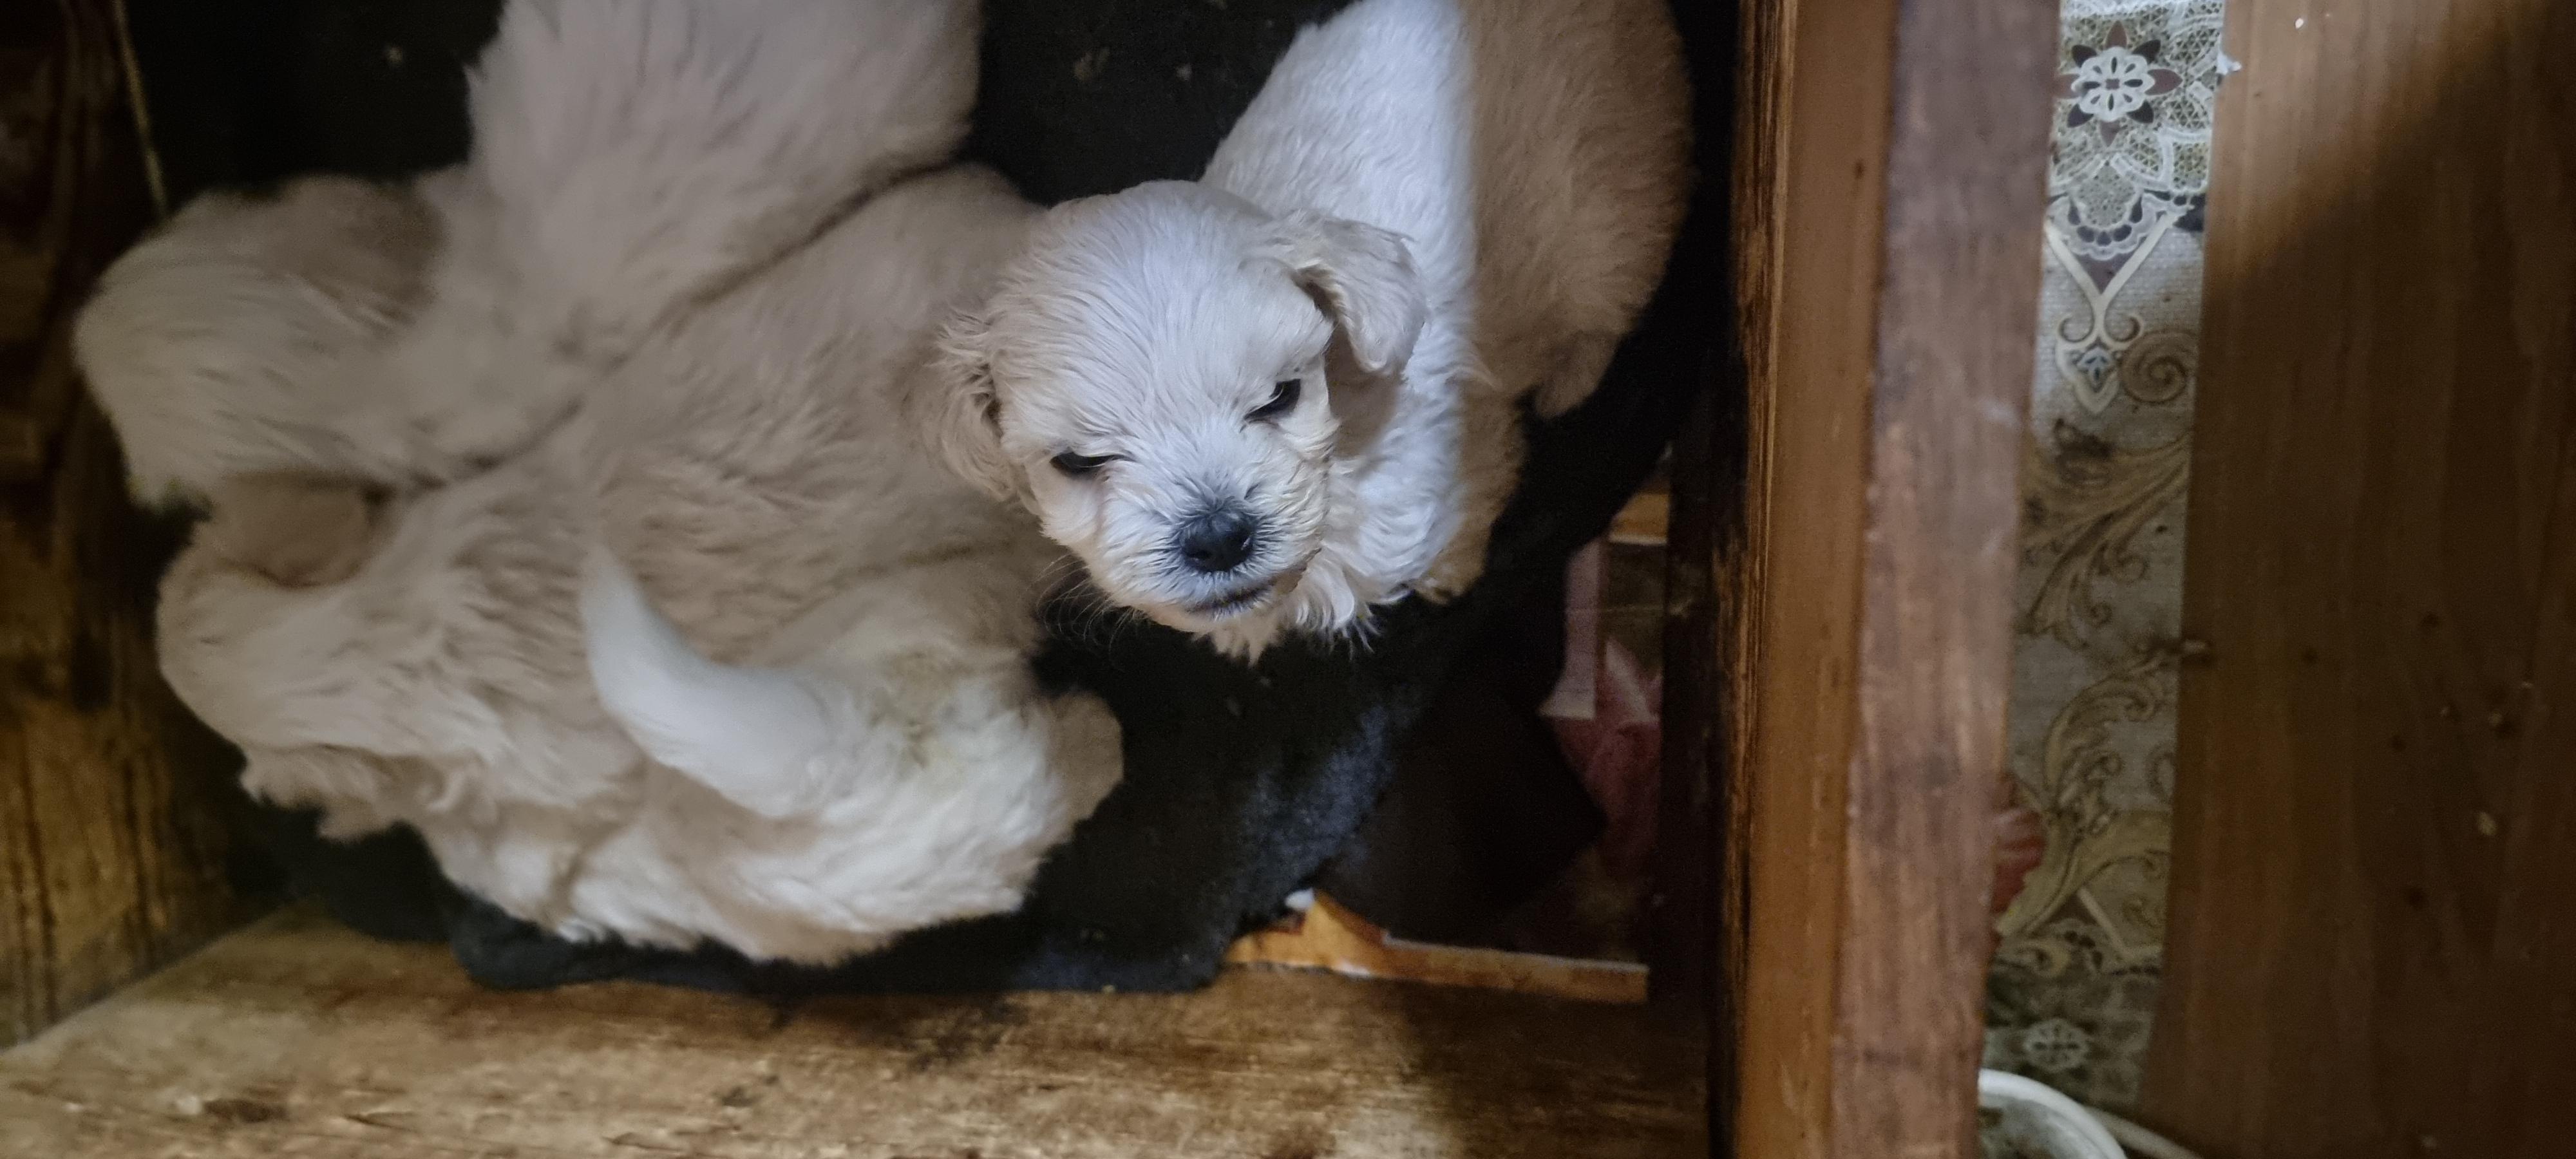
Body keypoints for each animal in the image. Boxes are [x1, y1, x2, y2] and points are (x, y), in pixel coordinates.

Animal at [916, 0, 1691, 658]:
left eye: (1279, 397)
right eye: (1077, 463)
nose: (1217, 535)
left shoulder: (1460, 438)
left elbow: (1467, 504)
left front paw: (1451, 572)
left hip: (1610, 212)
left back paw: (1570, 378)